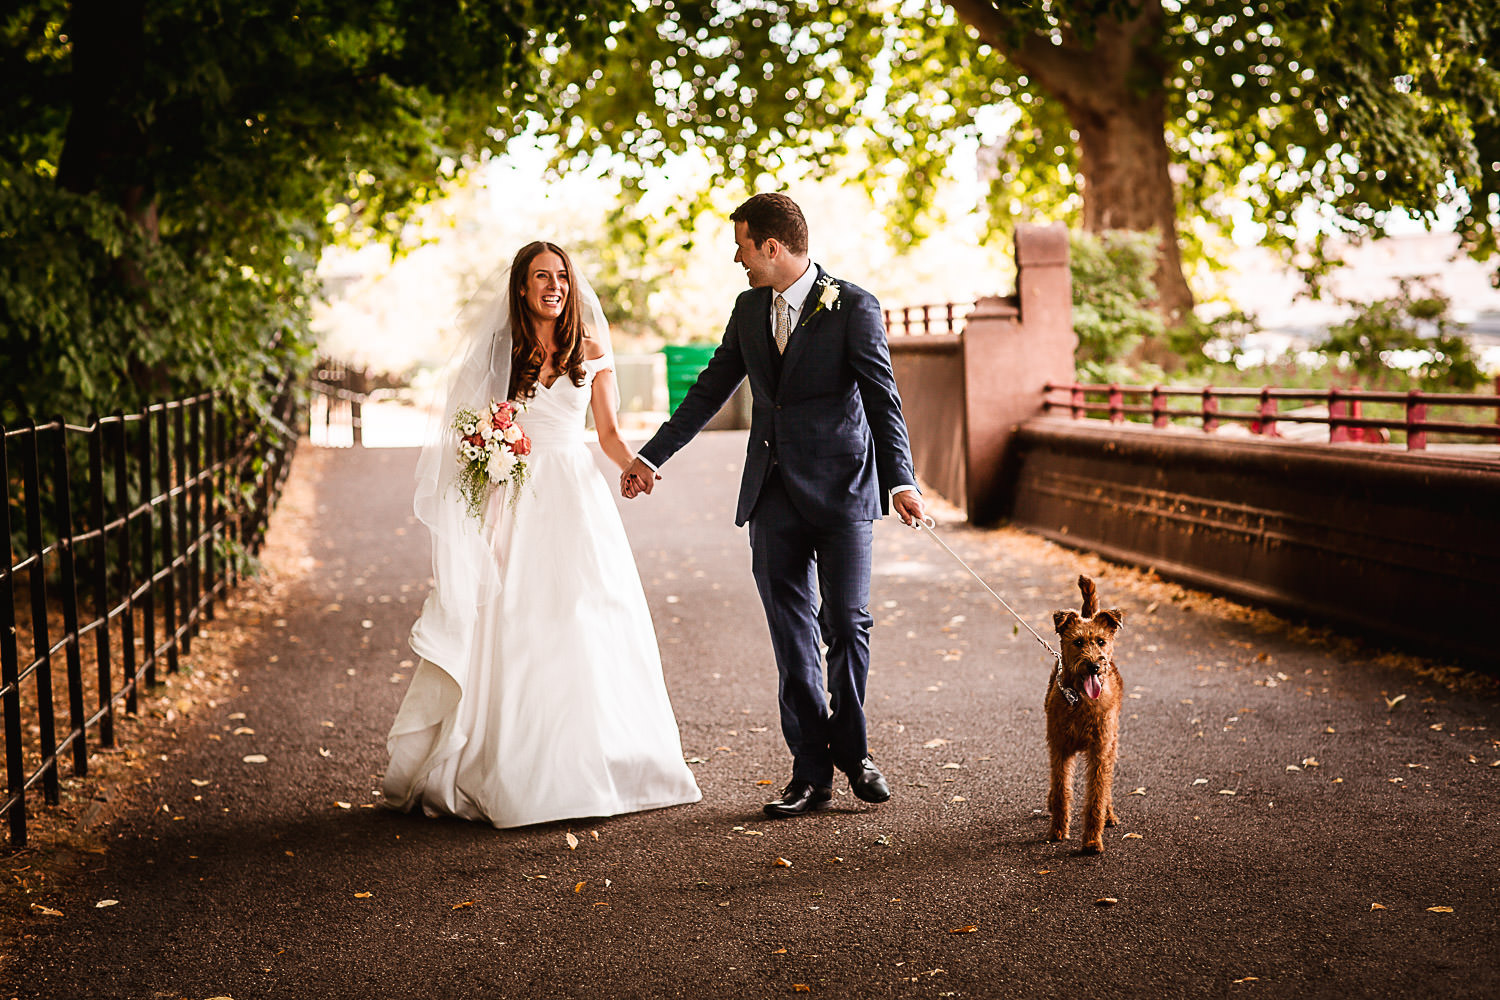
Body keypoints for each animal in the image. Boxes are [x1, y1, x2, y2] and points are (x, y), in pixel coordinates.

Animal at [1044, 578, 1128, 851]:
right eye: (1078, 642)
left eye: (1101, 641)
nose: (1093, 666)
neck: (1080, 701)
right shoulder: (1060, 748)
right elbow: (1062, 789)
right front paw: (1057, 831)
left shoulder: (1100, 751)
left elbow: (1096, 796)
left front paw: (1092, 841)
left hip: (1112, 742)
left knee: (1108, 787)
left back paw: (1109, 814)